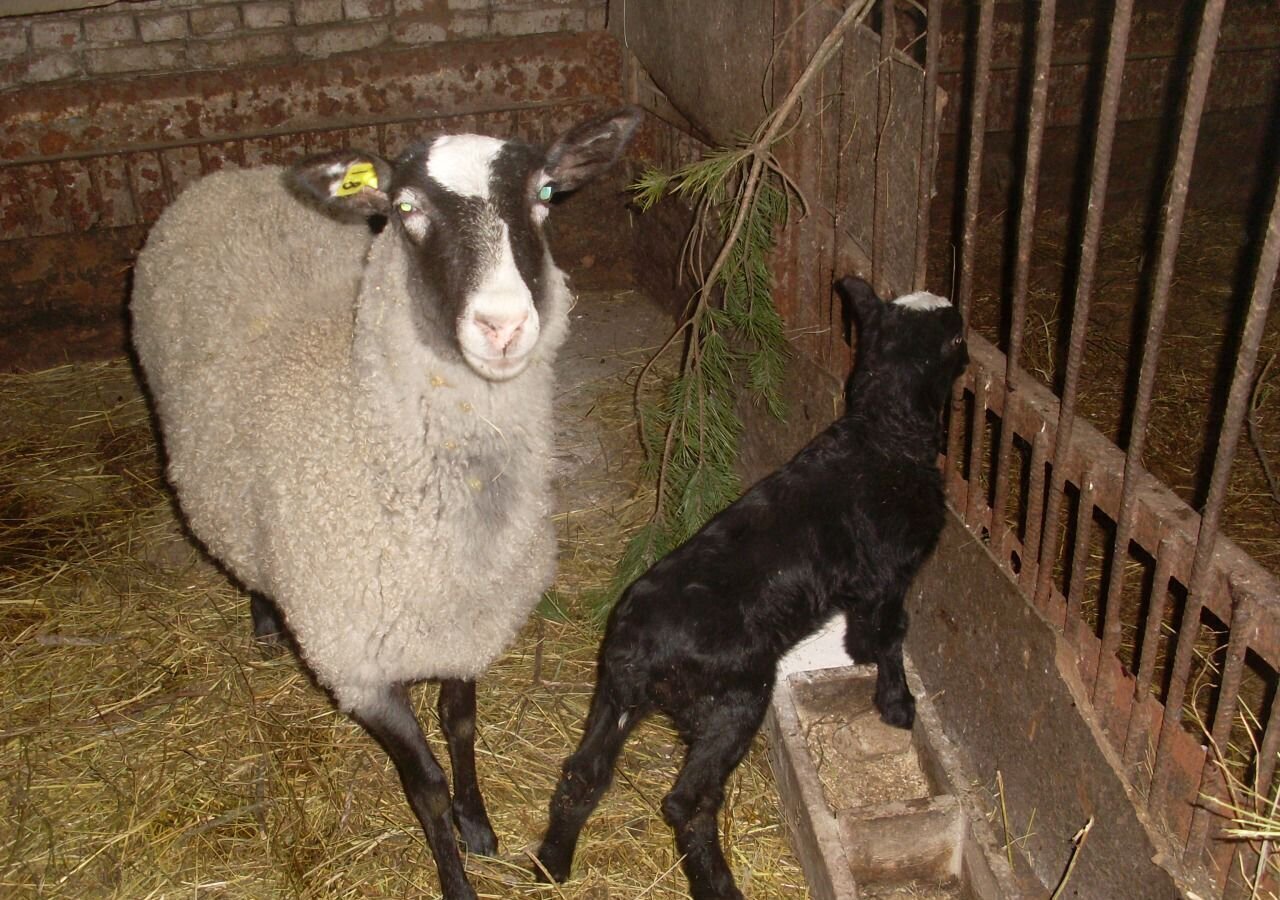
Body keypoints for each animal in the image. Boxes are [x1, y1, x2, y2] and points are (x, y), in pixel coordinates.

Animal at [129, 107, 640, 900]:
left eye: (546, 195)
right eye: (405, 210)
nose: (503, 325)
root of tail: (233, 174)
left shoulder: (466, 630)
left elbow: (460, 725)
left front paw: (478, 825)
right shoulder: (357, 669)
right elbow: (422, 783)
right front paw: (455, 874)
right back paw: (264, 617)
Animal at [532, 276, 967, 900]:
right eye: (955, 338)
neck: (883, 437)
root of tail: (637, 651)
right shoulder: (890, 575)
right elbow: (886, 640)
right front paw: (897, 706)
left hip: (616, 698)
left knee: (583, 774)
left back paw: (553, 861)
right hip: (735, 698)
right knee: (686, 801)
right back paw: (716, 884)